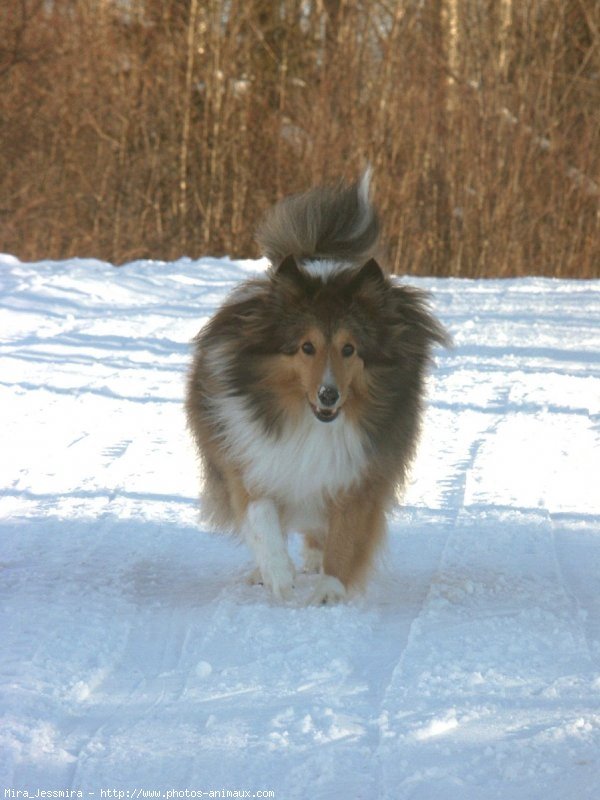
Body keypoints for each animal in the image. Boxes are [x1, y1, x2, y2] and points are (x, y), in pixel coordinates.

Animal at [185, 172, 448, 604]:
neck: (310, 422)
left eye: (349, 349)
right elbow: (260, 515)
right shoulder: (249, 457)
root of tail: (320, 259)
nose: (329, 395)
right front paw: (278, 575)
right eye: (306, 347)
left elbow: (345, 534)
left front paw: (328, 592)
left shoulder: (360, 472)